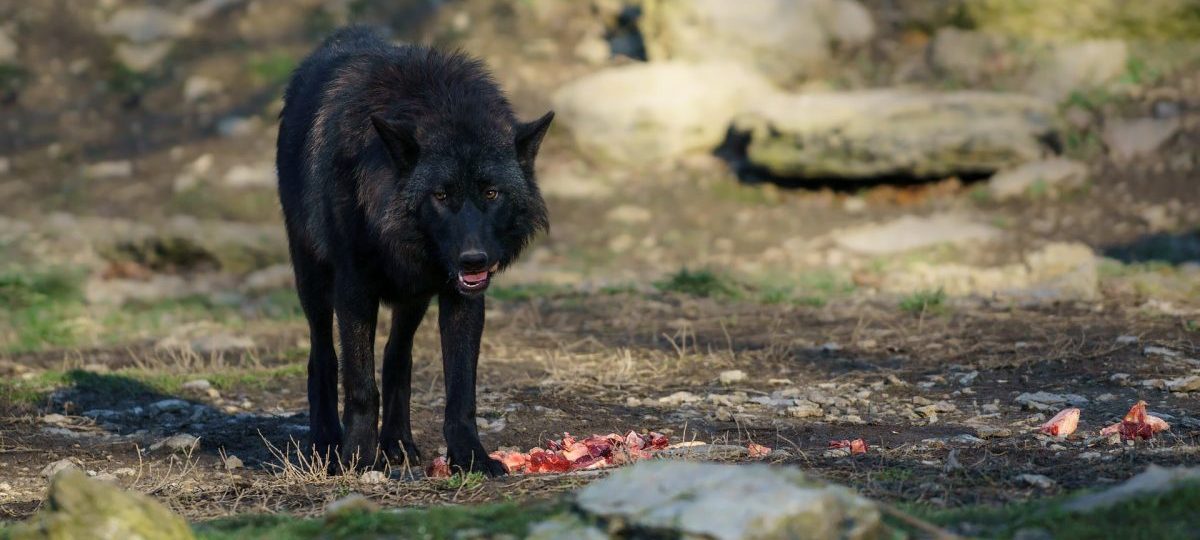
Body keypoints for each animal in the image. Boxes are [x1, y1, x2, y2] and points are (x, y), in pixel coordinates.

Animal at [276, 26, 552, 476]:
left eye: (491, 193)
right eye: (441, 195)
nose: (474, 260)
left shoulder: (461, 299)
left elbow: (461, 393)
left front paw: (471, 457)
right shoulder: (354, 292)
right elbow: (360, 386)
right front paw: (357, 457)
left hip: (414, 299)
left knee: (396, 356)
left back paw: (398, 443)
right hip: (313, 282)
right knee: (322, 356)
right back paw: (326, 442)